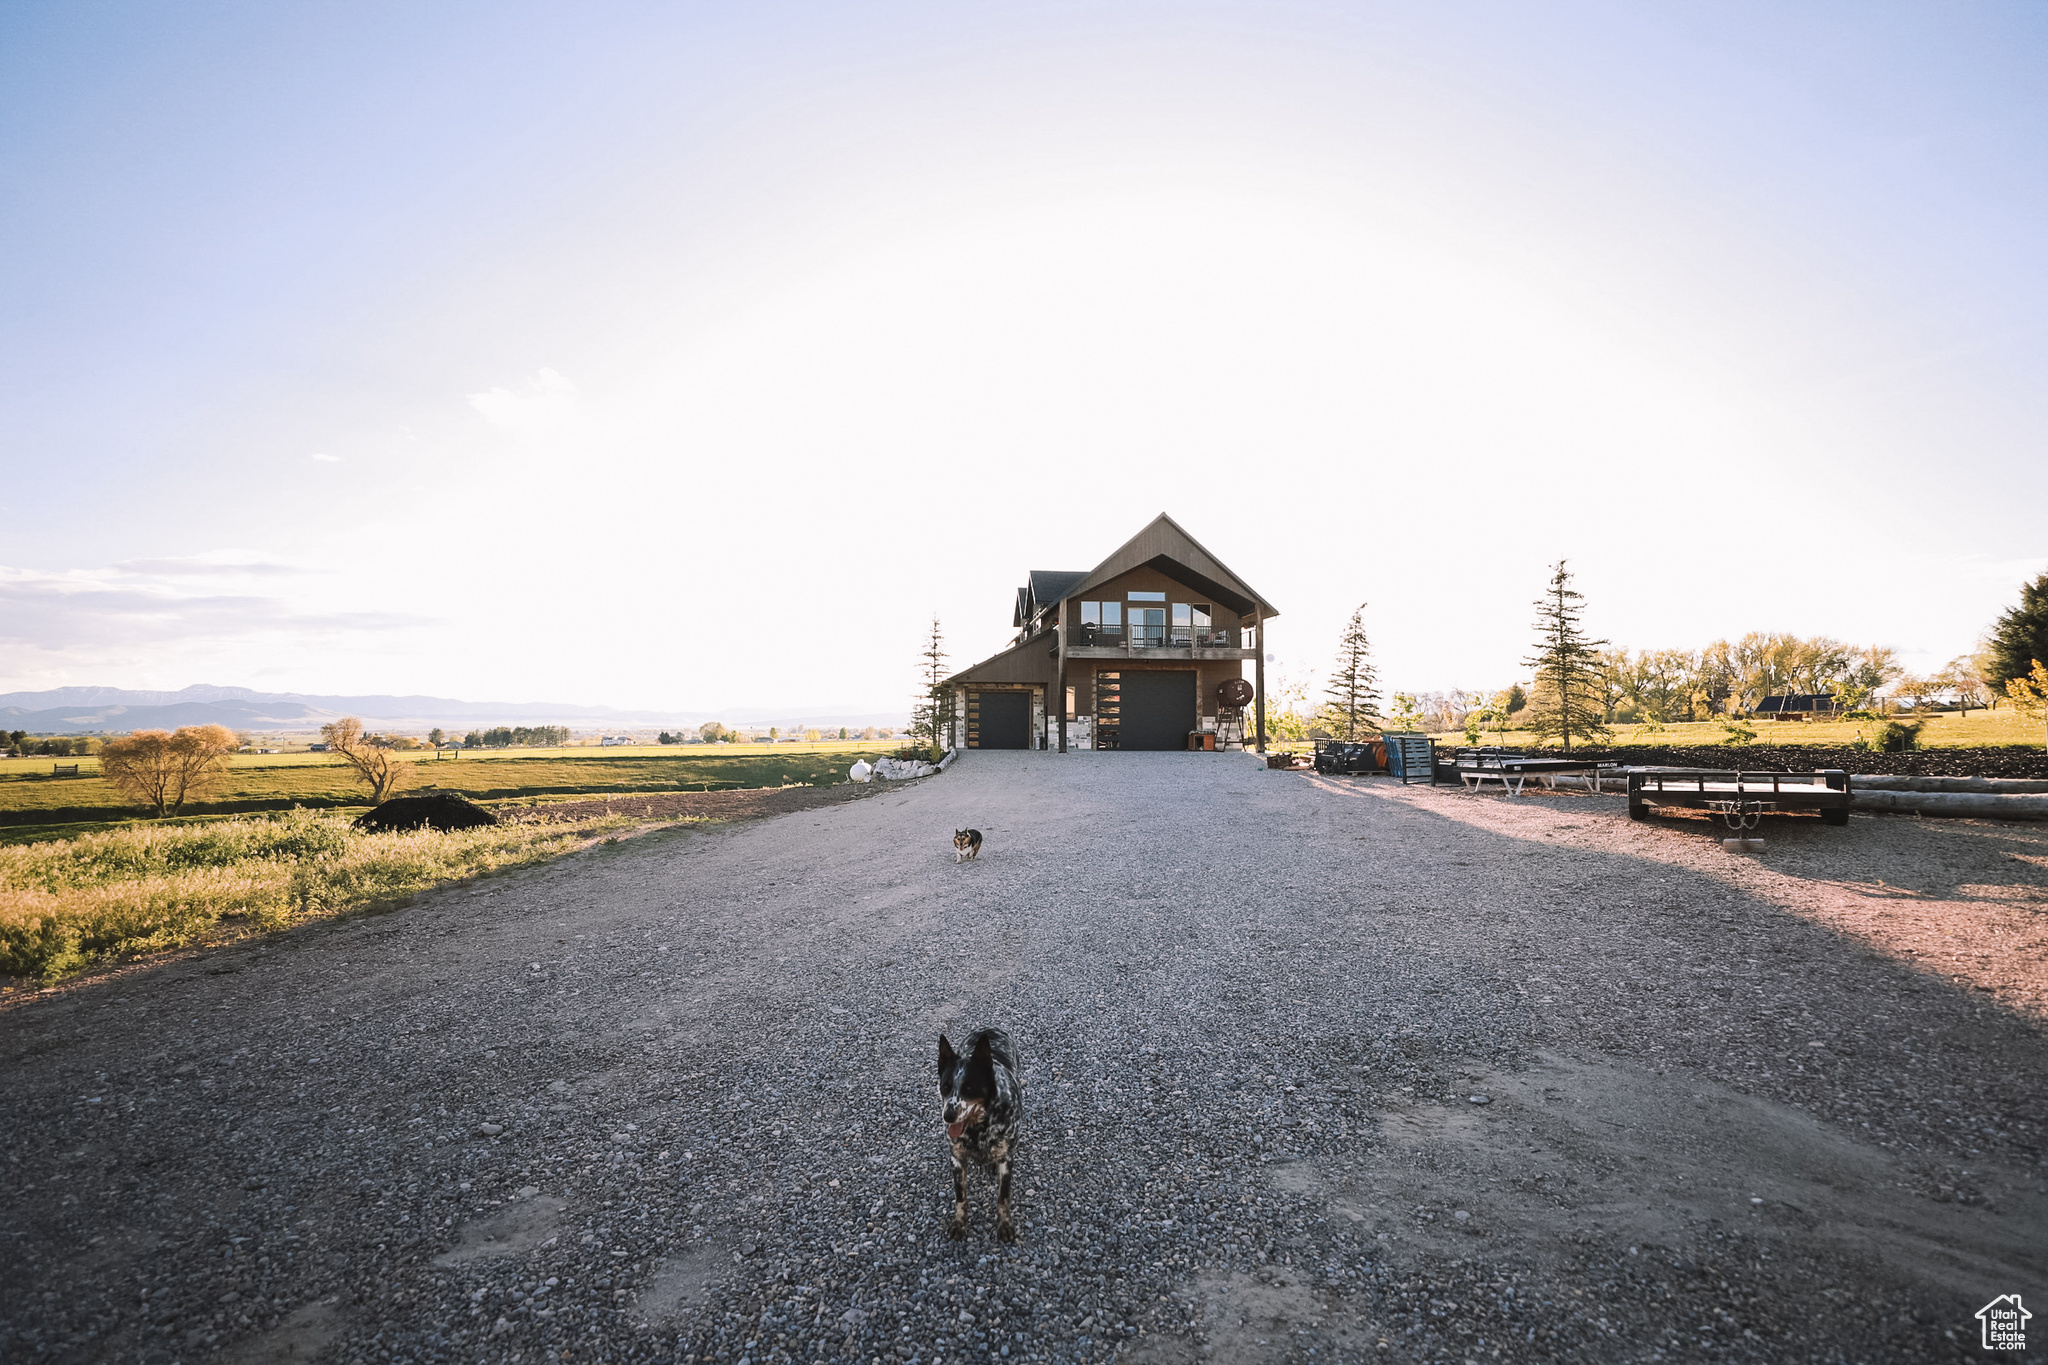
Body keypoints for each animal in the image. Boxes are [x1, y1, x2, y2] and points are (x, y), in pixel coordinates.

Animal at [937, 1031, 1024, 1244]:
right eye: (945, 1086)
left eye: (969, 1088)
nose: (948, 1115)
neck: (979, 1128)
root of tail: (989, 1029)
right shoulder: (957, 1159)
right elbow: (961, 1197)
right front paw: (959, 1223)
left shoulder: (1007, 1159)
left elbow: (1003, 1197)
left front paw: (1004, 1225)